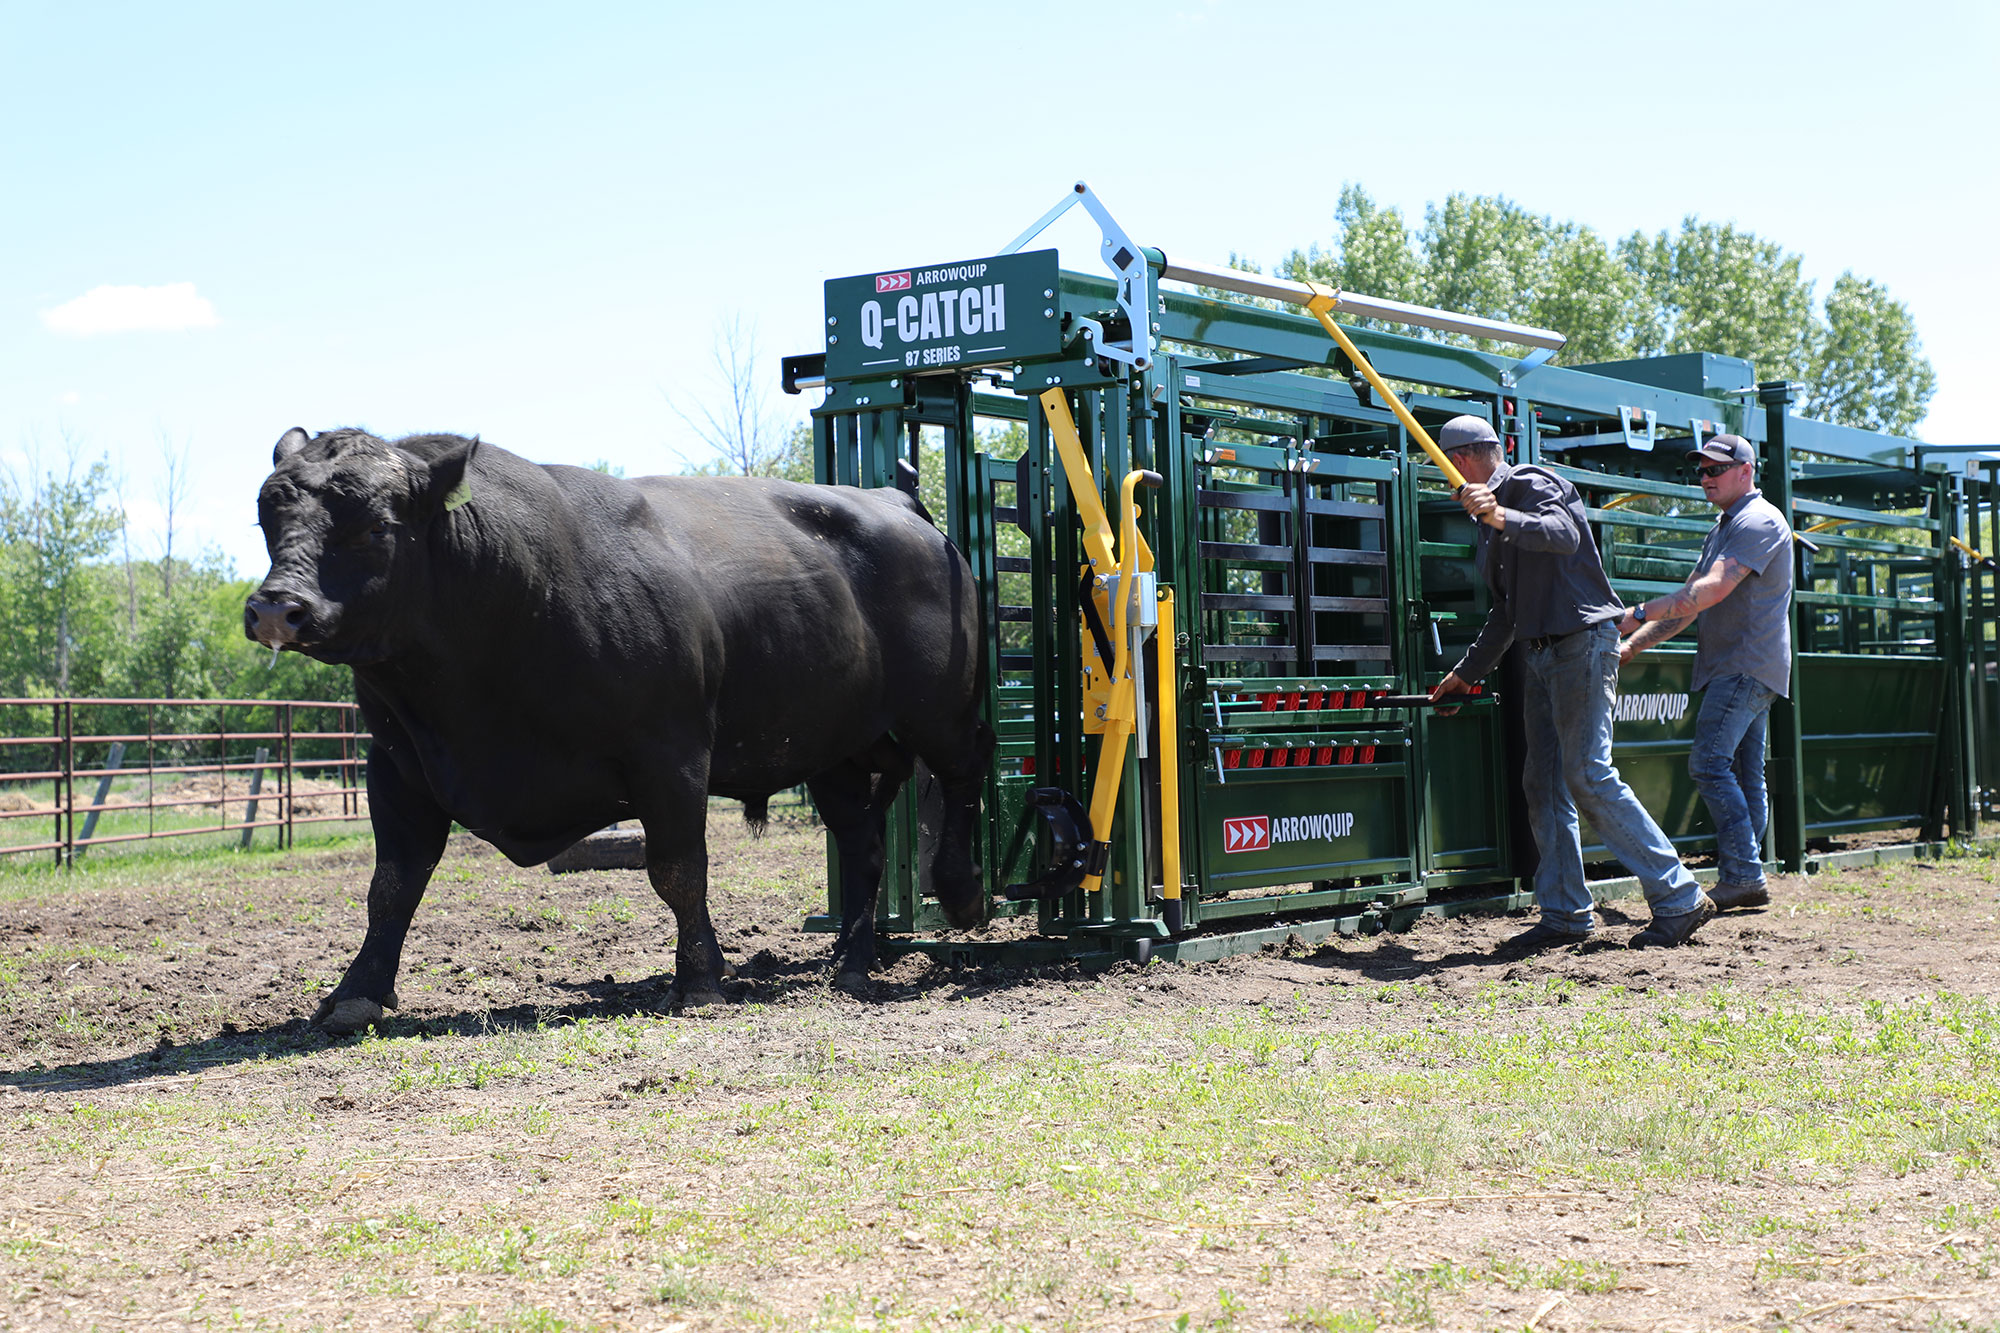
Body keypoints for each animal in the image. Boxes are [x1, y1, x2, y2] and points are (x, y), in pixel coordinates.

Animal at [248, 426, 992, 1024]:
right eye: (267, 517)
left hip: (939, 709)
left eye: (377, 526)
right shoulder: (399, 763)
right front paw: (356, 992)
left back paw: (959, 893)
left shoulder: (670, 753)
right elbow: (392, 886)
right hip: (833, 748)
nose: (277, 607)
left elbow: (678, 870)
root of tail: (897, 503)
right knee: (863, 844)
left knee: (966, 770)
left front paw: (698, 980)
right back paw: (852, 962)